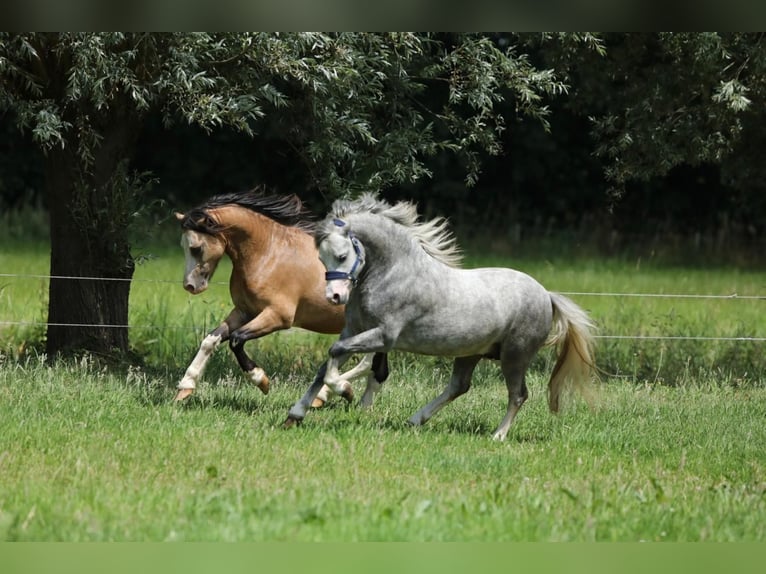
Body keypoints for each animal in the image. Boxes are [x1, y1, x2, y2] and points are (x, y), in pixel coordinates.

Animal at [175, 190, 390, 404]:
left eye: (195, 248)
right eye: (183, 246)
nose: (190, 286)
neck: (269, 253)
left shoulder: (278, 316)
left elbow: (236, 339)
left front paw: (261, 381)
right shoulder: (244, 311)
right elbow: (210, 340)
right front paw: (185, 388)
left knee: (372, 367)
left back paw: (338, 391)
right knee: (376, 369)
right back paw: (330, 395)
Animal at [284, 194, 596, 440]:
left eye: (341, 255)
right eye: (321, 258)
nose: (334, 297)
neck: (393, 272)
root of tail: (546, 295)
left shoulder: (383, 337)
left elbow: (335, 355)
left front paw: (344, 390)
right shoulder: (353, 331)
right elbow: (326, 364)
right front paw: (295, 413)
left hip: (515, 356)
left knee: (518, 394)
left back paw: (498, 435)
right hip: (471, 353)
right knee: (459, 386)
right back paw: (415, 420)